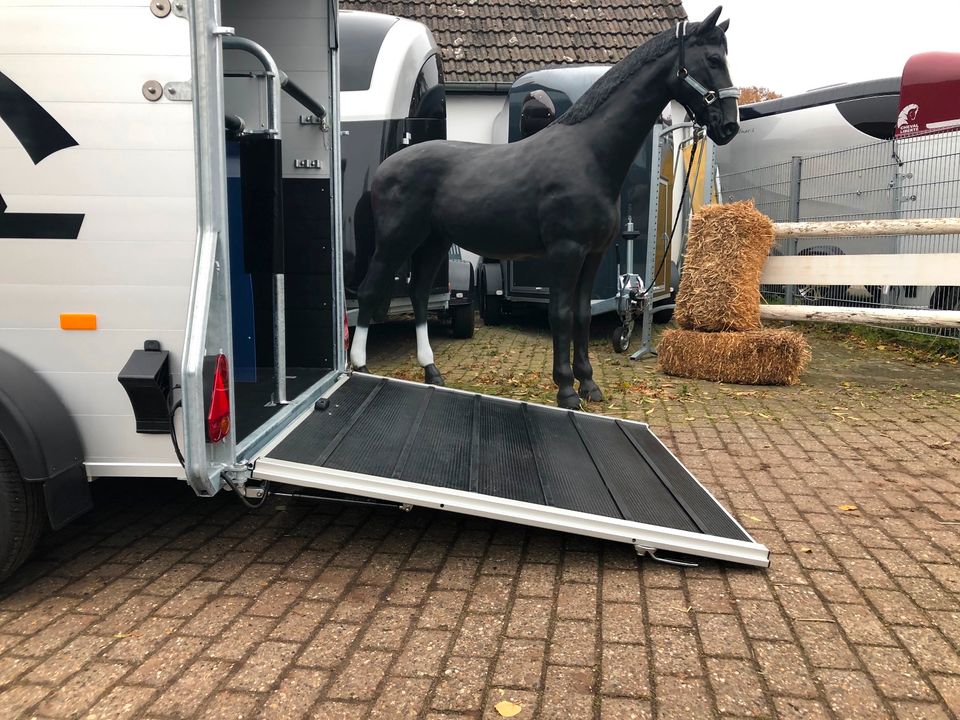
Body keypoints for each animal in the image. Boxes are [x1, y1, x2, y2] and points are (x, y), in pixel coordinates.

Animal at [352, 5, 744, 408]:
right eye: (713, 59)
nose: (729, 125)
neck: (588, 153)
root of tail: (385, 169)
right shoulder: (565, 252)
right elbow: (561, 313)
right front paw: (567, 389)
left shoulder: (594, 254)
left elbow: (583, 314)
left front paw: (589, 385)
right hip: (396, 241)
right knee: (369, 290)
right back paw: (361, 367)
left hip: (434, 242)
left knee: (417, 295)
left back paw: (432, 371)